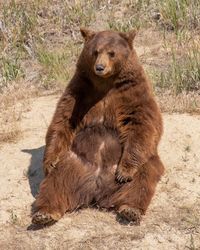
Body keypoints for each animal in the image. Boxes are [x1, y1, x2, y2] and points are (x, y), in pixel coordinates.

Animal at [31, 28, 164, 226]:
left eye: (112, 53)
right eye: (95, 52)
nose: (100, 67)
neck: (106, 83)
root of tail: (97, 190)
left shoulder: (133, 92)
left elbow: (143, 123)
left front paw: (124, 172)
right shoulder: (79, 91)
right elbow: (62, 120)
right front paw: (49, 161)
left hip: (143, 163)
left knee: (142, 179)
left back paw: (130, 210)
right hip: (72, 163)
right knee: (54, 183)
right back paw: (44, 213)